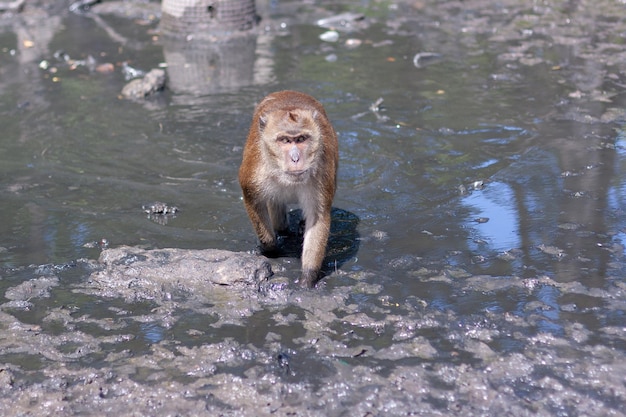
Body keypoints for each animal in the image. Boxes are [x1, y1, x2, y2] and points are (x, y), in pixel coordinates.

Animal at [238, 90, 336, 286]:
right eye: (285, 140)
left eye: (301, 139)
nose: (295, 158)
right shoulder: (255, 171)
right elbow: (252, 199)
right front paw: (270, 247)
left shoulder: (322, 172)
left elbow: (318, 216)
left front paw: (307, 278)